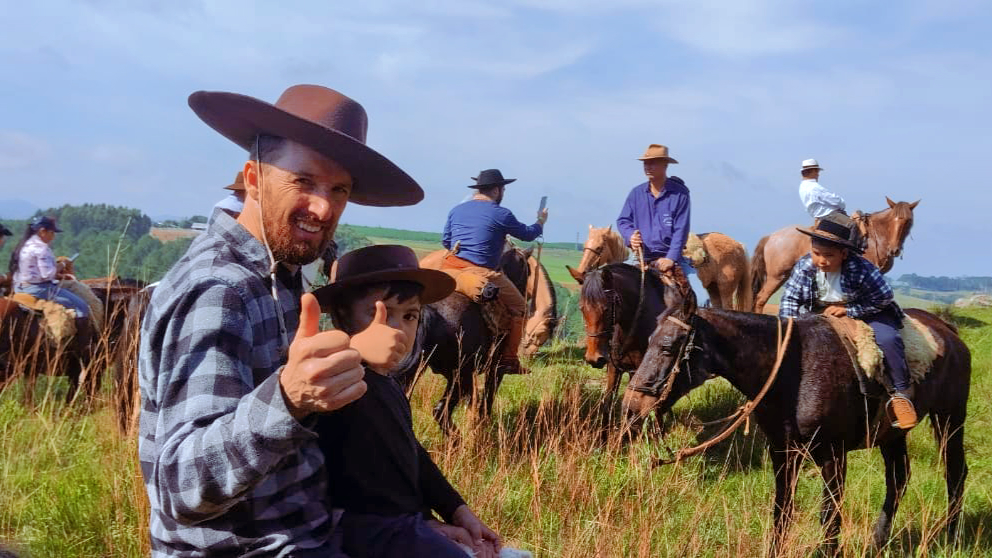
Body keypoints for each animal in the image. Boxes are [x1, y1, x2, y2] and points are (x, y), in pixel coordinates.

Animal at [624, 286, 972, 556]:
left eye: (668, 347)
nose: (631, 404)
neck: (793, 371)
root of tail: (949, 333)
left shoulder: (833, 454)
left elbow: (829, 515)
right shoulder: (783, 452)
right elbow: (783, 510)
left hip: (950, 418)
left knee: (955, 473)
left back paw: (951, 538)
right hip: (893, 434)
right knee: (898, 479)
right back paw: (879, 541)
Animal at [752, 199, 924, 316]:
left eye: (909, 221)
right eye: (894, 219)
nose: (895, 250)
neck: (874, 238)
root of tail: (770, 237)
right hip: (777, 276)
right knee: (760, 298)